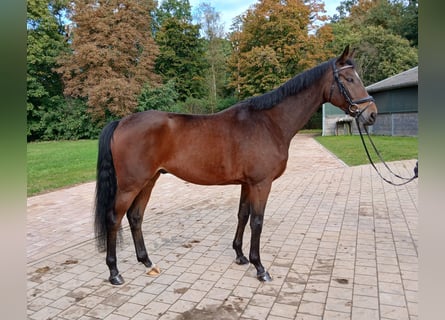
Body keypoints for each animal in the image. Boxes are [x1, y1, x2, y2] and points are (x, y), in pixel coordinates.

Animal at [95, 45, 376, 284]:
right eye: (349, 79)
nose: (371, 114)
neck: (269, 123)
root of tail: (121, 122)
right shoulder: (261, 184)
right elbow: (257, 221)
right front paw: (260, 268)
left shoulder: (247, 183)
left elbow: (242, 215)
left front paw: (240, 256)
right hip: (130, 185)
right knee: (114, 218)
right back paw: (114, 272)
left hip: (149, 180)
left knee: (135, 217)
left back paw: (147, 262)